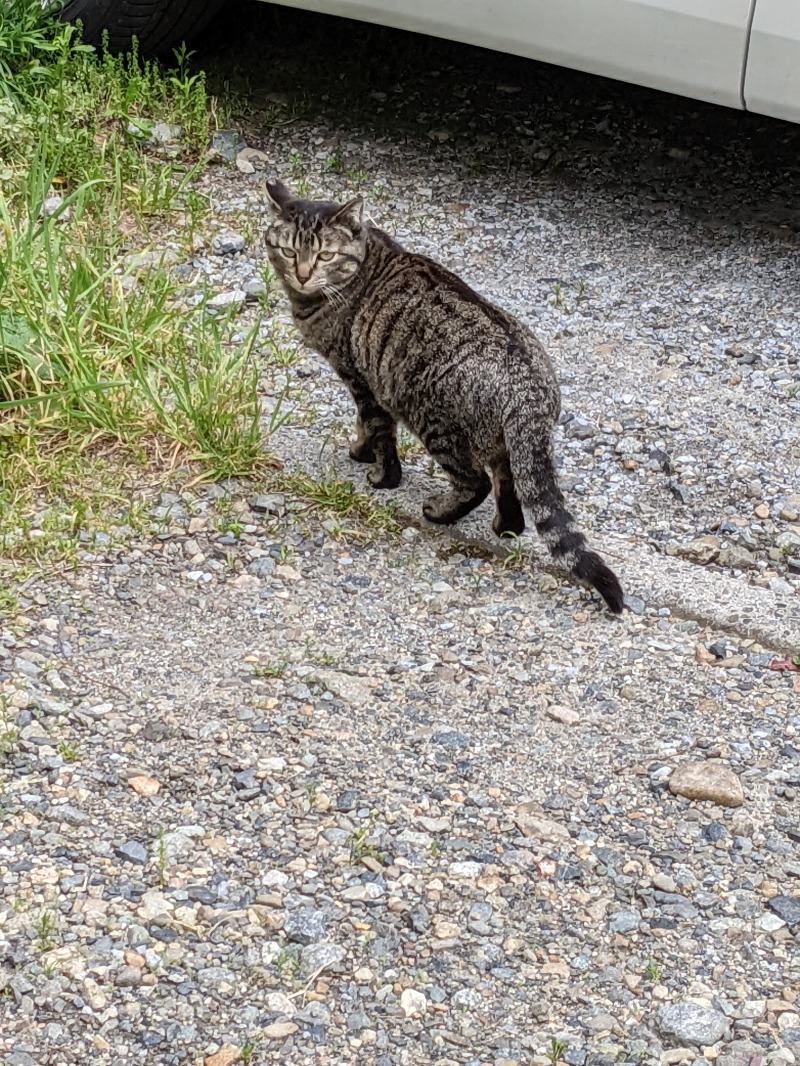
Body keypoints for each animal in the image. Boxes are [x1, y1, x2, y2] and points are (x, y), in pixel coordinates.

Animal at [264, 181, 627, 618]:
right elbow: (367, 426)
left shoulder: (362, 379)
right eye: (289, 251)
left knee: (476, 482)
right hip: (501, 442)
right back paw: (503, 527)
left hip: (433, 420)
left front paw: (378, 473)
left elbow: (377, 431)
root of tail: (530, 389)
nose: (303, 274)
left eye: (325, 255)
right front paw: (361, 453)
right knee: (509, 488)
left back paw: (440, 512)